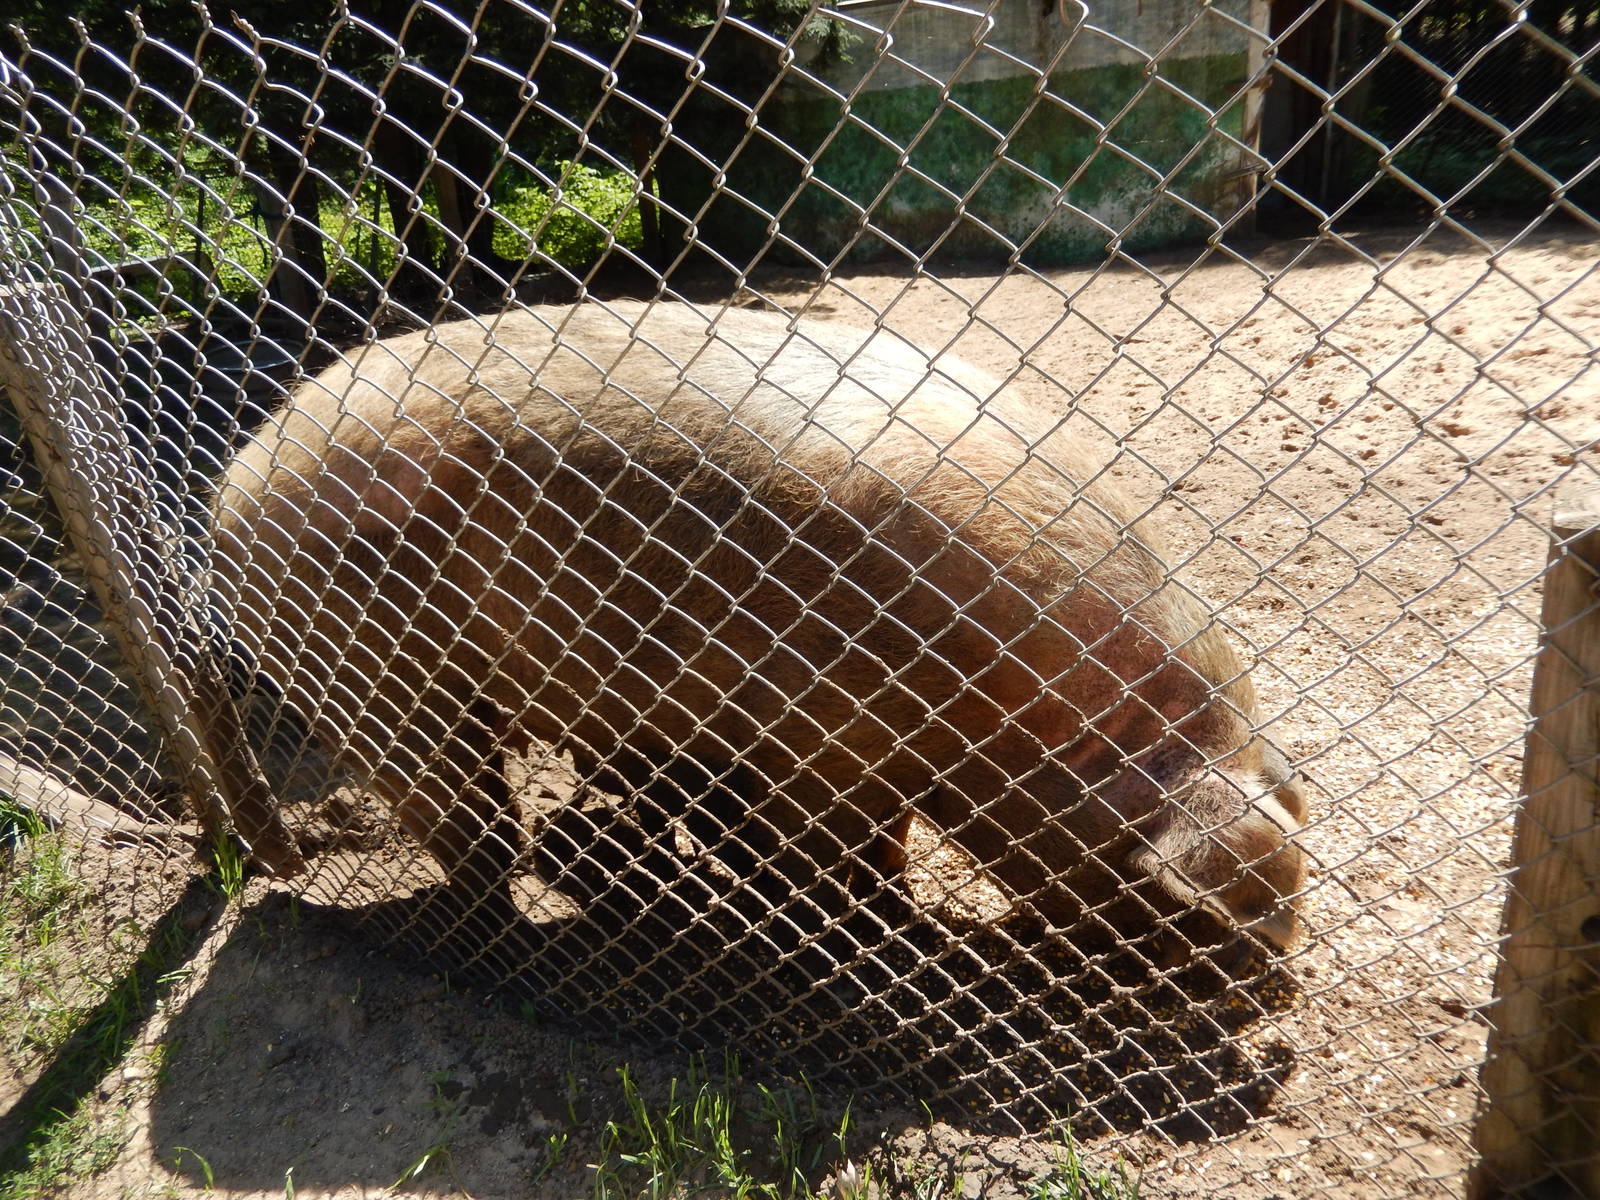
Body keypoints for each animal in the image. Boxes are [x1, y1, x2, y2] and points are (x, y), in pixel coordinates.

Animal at [210, 300, 1306, 960]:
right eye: (1162, 899)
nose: (1271, 974)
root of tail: (239, 478)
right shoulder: (826, 745)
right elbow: (847, 850)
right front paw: (876, 923)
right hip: (370, 675)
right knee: (473, 830)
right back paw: (506, 936)